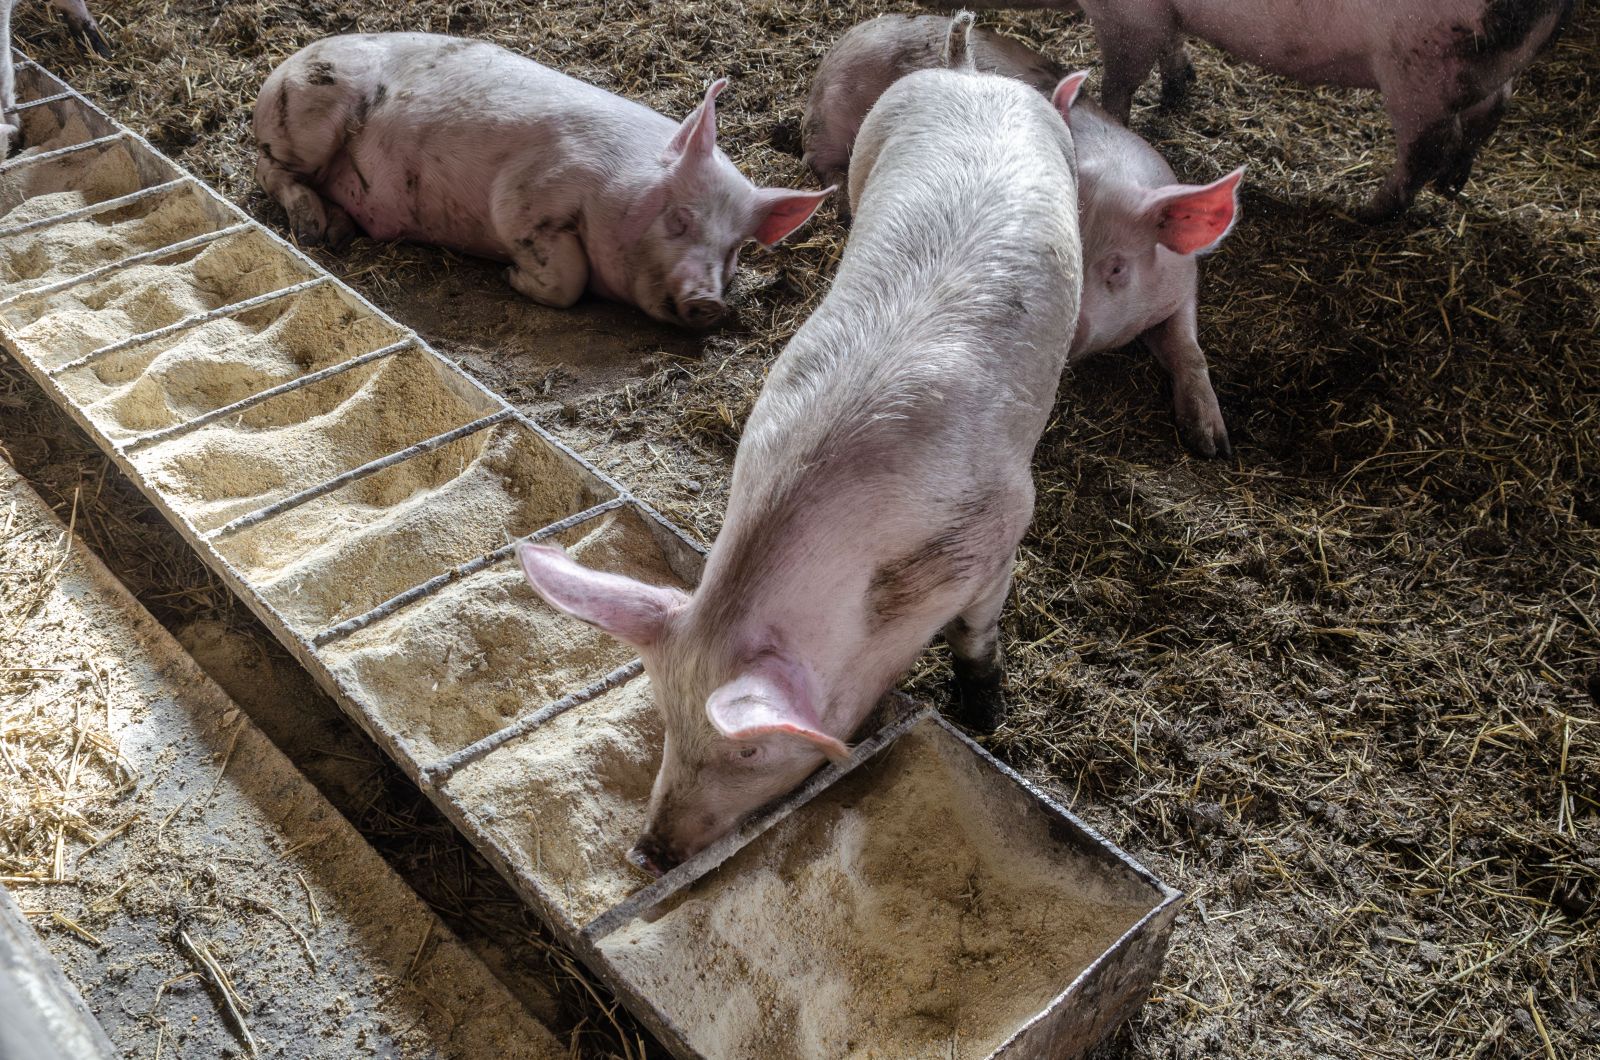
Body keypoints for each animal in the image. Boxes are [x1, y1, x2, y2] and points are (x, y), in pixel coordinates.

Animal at [249, 34, 832, 328]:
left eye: (735, 248)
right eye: (680, 219)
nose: (709, 302)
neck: (617, 186)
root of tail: (285, 64)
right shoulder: (524, 198)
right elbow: (566, 278)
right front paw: (511, 276)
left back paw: (341, 229)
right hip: (308, 116)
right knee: (269, 170)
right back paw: (315, 230)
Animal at [521, 12, 1088, 877]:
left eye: (751, 750)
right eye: (665, 716)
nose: (650, 853)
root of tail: (968, 72)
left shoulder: (1000, 527)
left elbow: (977, 630)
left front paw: (984, 713)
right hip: (866, 155)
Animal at [806, 14, 1241, 457]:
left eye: (1118, 267)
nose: (1065, 326)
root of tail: (855, 34)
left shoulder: (1182, 282)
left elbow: (1188, 348)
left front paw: (1213, 444)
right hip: (833, 117)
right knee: (819, 161)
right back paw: (842, 207)